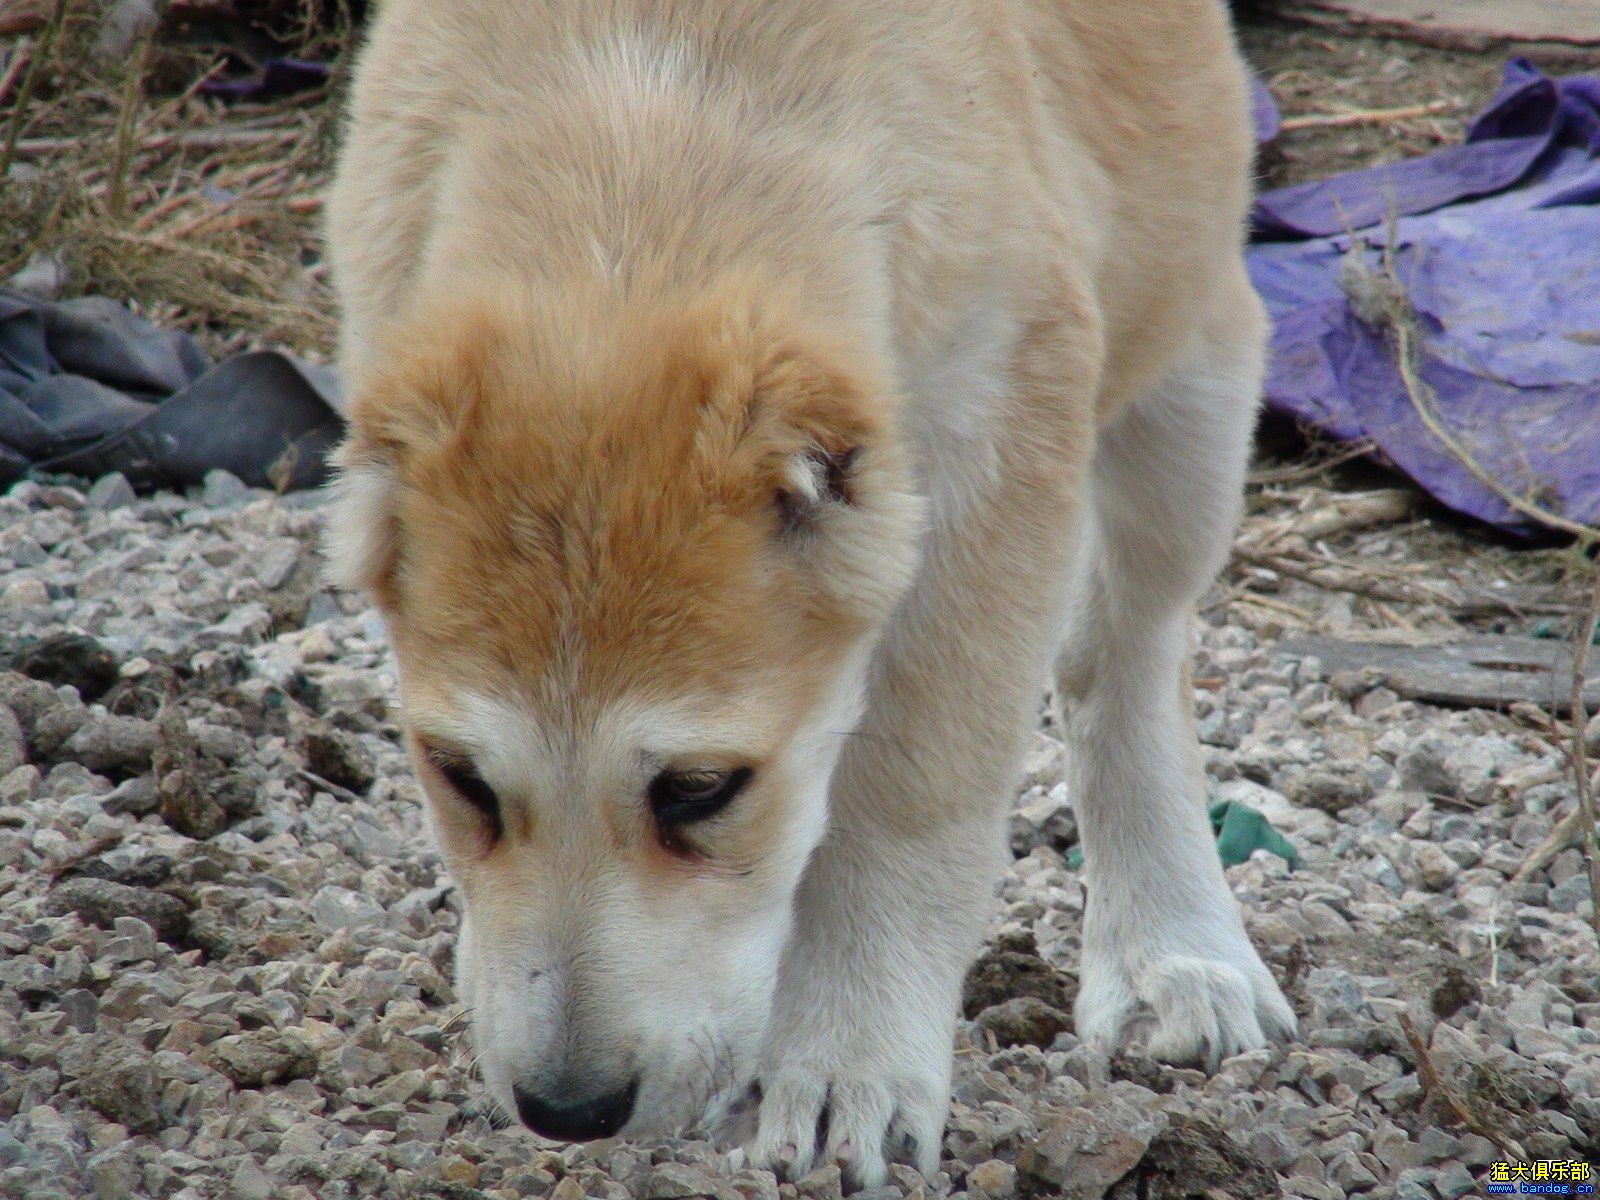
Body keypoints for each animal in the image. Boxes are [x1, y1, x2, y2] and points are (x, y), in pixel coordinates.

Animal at [321, 0, 1299, 1184]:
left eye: (701, 790)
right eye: (459, 777)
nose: (568, 1110)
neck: (640, 160)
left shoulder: (993, 457)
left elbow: (911, 792)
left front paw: (848, 1064)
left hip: (1191, 374)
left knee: (1130, 654)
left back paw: (1175, 952)